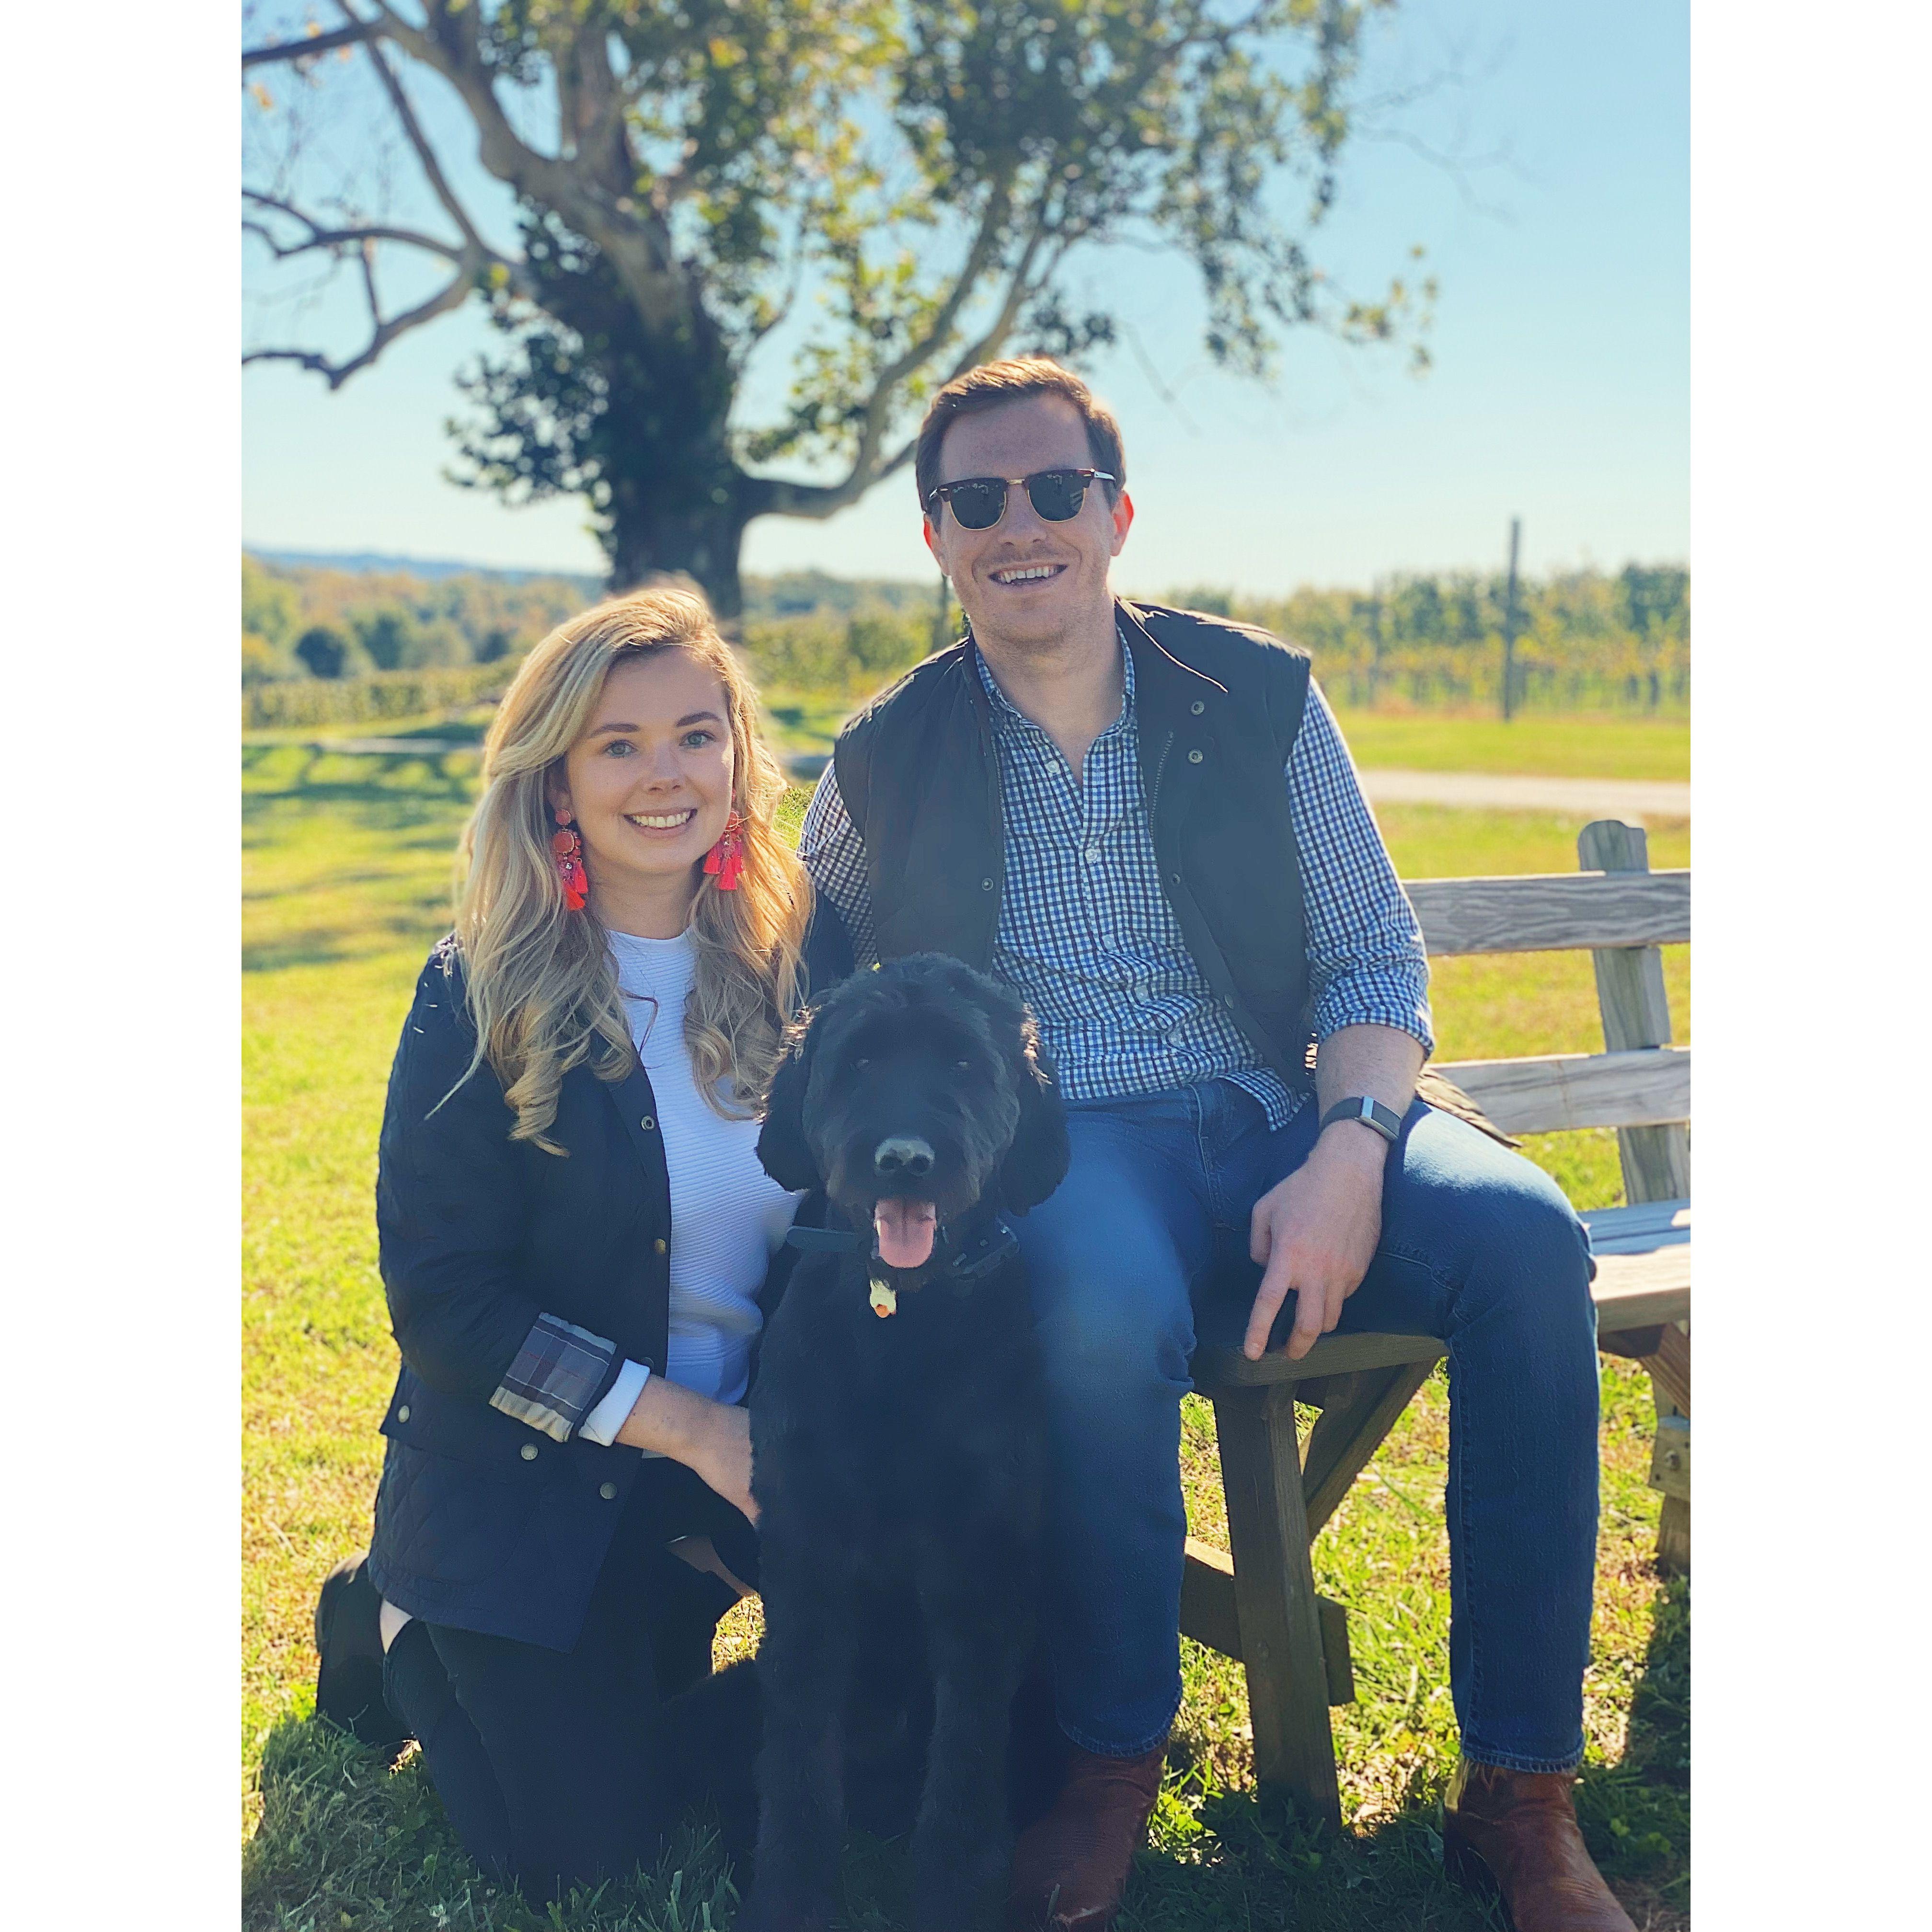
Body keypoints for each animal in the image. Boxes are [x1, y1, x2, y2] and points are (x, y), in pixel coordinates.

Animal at [742, 954, 1074, 1932]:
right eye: (856, 1063)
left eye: (964, 1064)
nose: (904, 1160)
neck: (898, 1324)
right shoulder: (806, 1558)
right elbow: (799, 1748)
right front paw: (791, 1895)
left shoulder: (980, 1565)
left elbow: (965, 1755)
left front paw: (955, 1892)